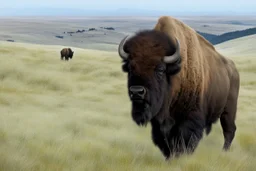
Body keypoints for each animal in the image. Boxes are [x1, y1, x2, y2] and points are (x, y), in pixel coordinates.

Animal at [117, 15, 240, 160]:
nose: (137, 92)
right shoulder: (159, 123)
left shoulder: (189, 119)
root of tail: (233, 69)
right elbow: (165, 142)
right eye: (130, 68)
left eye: (160, 69)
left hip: (229, 110)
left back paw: (224, 152)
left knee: (229, 130)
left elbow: (183, 140)